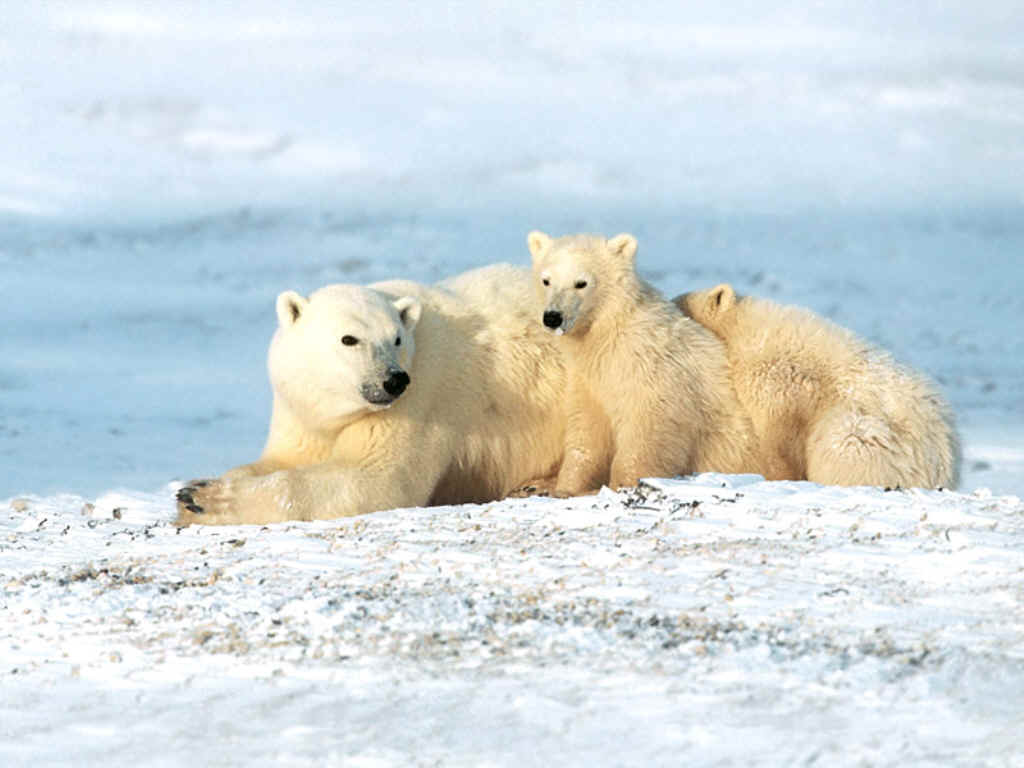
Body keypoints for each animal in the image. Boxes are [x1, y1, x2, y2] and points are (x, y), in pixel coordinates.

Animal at [172, 266, 565, 528]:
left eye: (396, 339)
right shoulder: (302, 410)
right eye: (349, 339)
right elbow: (285, 457)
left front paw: (204, 499)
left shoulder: (425, 394)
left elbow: (374, 477)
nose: (394, 380)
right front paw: (196, 491)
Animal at [528, 231, 761, 495]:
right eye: (546, 280)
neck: (610, 336)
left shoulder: (652, 374)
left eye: (581, 283)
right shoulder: (590, 380)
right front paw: (565, 486)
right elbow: (587, 430)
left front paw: (623, 484)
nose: (552, 317)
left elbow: (646, 436)